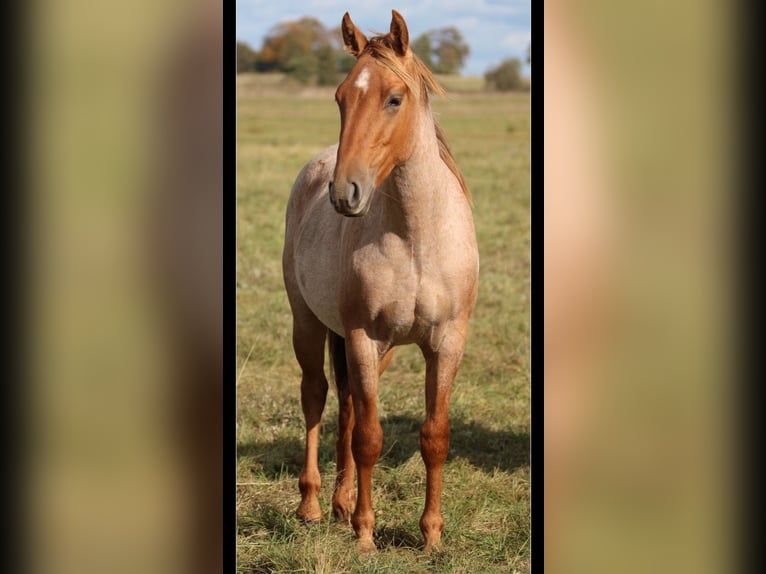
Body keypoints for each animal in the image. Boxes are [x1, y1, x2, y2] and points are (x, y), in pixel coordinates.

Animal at [282, 9, 480, 556]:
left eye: (395, 98)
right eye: (340, 97)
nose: (344, 192)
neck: (416, 239)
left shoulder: (446, 343)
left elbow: (434, 436)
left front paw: (431, 537)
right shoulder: (363, 338)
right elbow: (370, 437)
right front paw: (367, 535)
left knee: (347, 407)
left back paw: (341, 502)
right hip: (308, 323)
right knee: (316, 395)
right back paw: (312, 504)